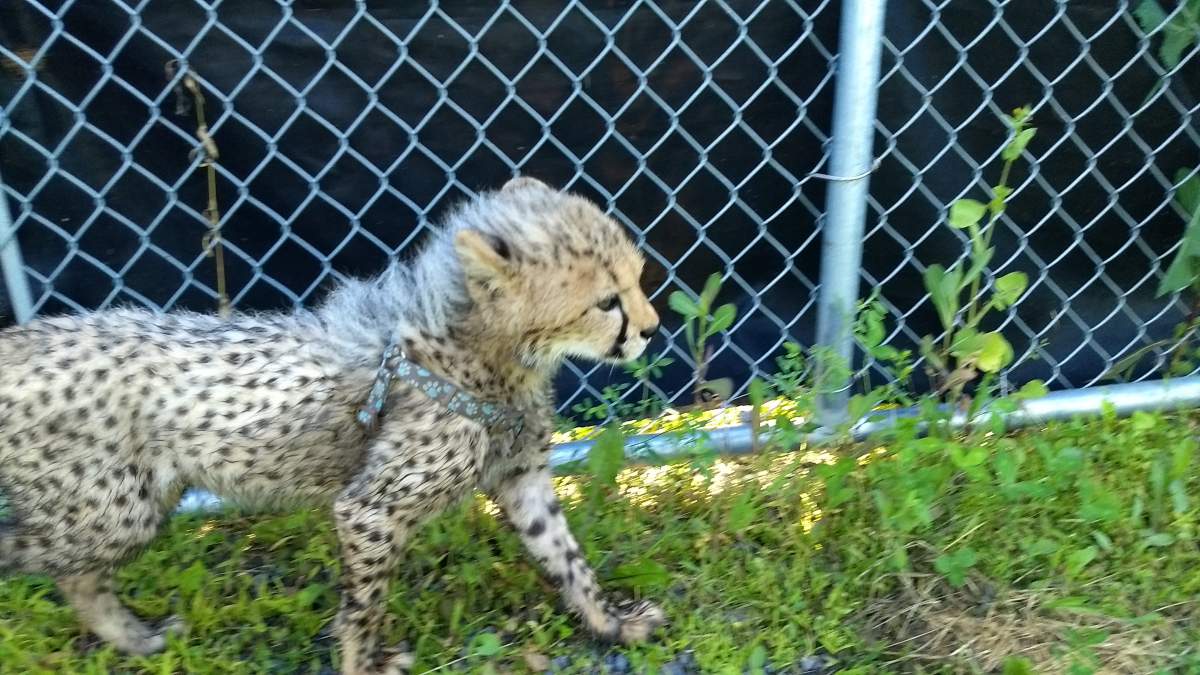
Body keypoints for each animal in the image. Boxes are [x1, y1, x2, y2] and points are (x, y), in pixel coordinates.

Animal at [0, 176, 665, 674]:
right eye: (606, 302)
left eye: (636, 278)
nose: (652, 329)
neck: (480, 350)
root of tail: (19, 340)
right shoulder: (370, 509)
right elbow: (364, 607)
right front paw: (362, 663)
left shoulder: (522, 480)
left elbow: (567, 559)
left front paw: (612, 623)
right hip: (111, 512)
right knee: (55, 565)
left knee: (81, 580)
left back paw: (137, 641)